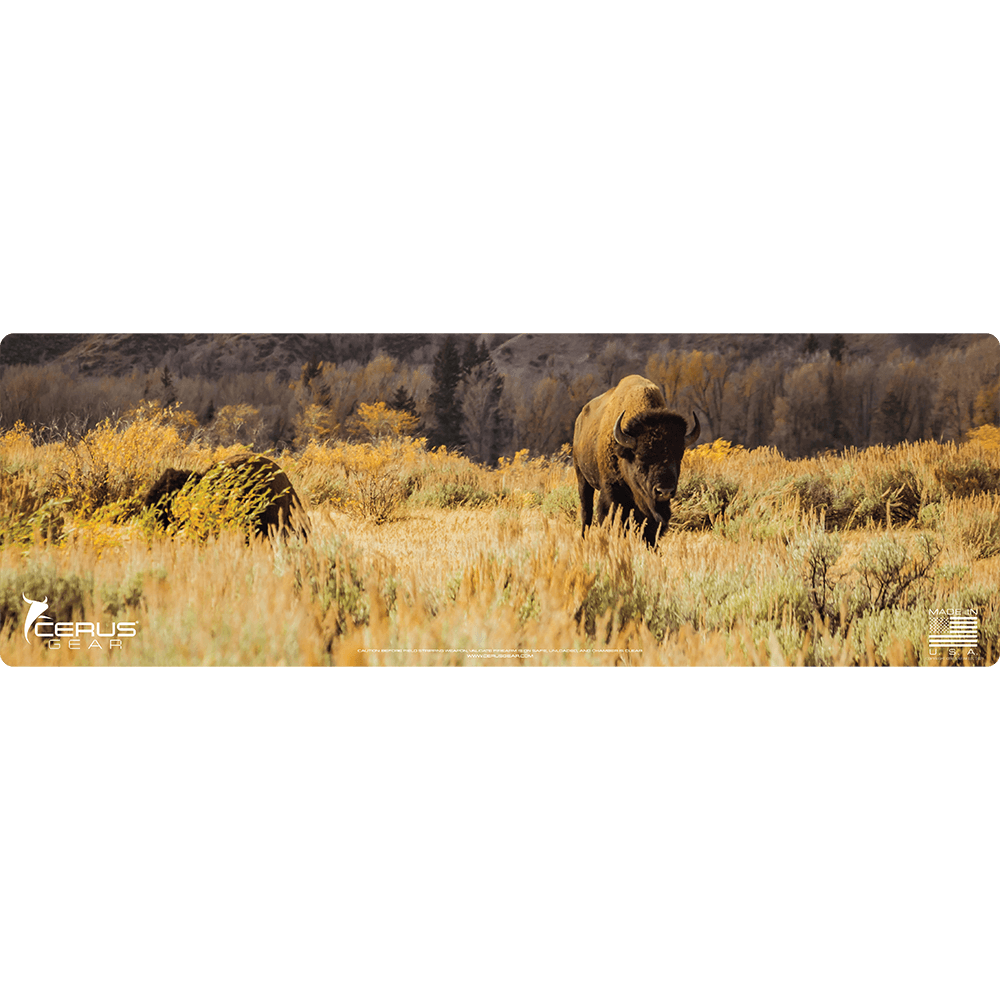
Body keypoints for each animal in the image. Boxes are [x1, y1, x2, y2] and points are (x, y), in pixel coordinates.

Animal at [572, 375, 700, 545]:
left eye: (679, 456)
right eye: (641, 457)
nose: (664, 491)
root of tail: (579, 419)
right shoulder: (612, 491)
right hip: (582, 477)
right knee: (586, 511)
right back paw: (583, 539)